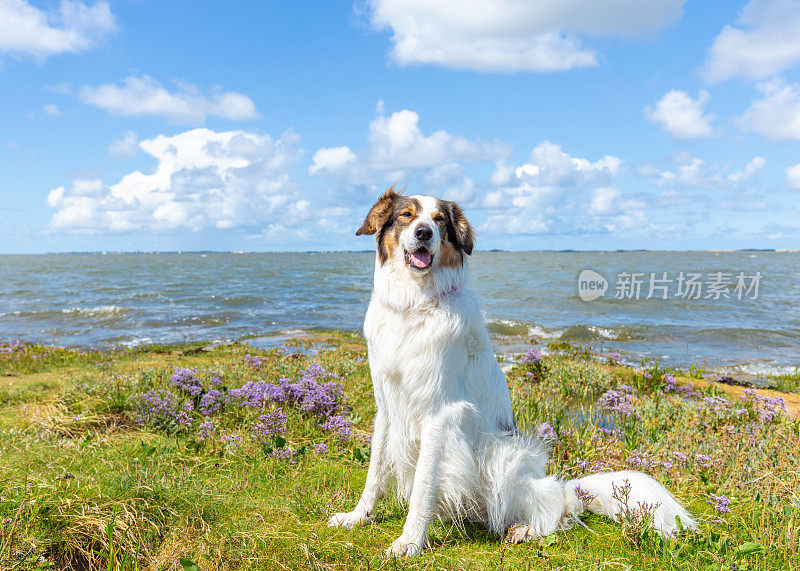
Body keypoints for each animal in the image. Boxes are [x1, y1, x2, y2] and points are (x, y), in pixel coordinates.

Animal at [328, 190, 696, 556]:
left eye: (439, 220)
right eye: (406, 214)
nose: (423, 233)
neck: (412, 307)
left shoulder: (440, 413)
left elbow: (423, 485)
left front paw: (410, 542)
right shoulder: (387, 408)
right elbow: (374, 473)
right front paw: (358, 517)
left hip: (502, 455)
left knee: (554, 508)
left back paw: (526, 529)